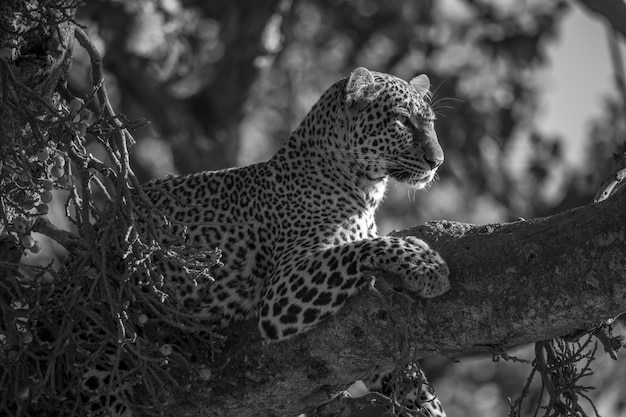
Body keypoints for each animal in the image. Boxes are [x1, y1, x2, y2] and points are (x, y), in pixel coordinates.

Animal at [136, 66, 448, 414]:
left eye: (431, 123)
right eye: (403, 121)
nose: (438, 161)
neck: (366, 190)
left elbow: (408, 376)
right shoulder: (281, 291)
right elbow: (359, 247)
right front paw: (425, 263)